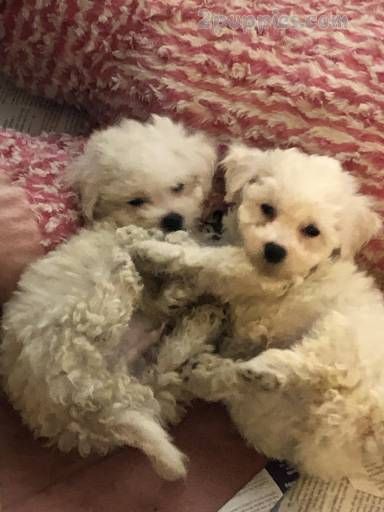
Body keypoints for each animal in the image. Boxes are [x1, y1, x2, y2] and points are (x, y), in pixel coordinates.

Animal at [130, 144, 384, 480]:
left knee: (321, 365)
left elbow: (207, 260)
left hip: (342, 335)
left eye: (312, 230)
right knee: (239, 389)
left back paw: (263, 368)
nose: (274, 250)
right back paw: (211, 371)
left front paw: (155, 250)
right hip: (274, 421)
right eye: (267, 209)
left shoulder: (256, 277)